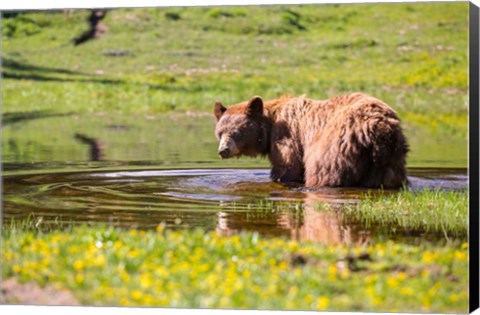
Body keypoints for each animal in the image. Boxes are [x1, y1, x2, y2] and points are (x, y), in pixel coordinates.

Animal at [214, 92, 408, 189]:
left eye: (236, 132)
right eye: (220, 132)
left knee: (325, 170)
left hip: (335, 145)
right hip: (390, 155)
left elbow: (287, 166)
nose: (223, 150)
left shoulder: (286, 136)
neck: (270, 125)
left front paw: (280, 179)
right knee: (386, 176)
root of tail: (376, 126)